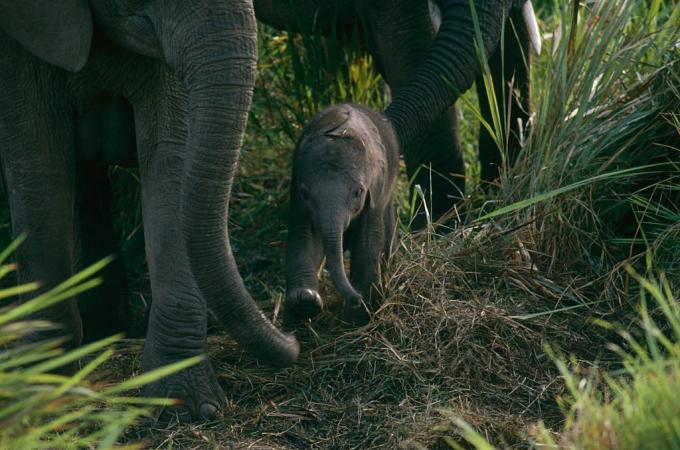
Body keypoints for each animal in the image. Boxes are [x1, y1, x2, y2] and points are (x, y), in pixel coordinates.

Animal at [286, 103, 402, 326]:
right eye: (305, 193)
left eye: (357, 193)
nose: (355, 298)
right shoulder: (297, 194)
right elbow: (304, 237)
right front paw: (306, 301)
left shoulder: (376, 189)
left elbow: (368, 242)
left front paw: (355, 316)